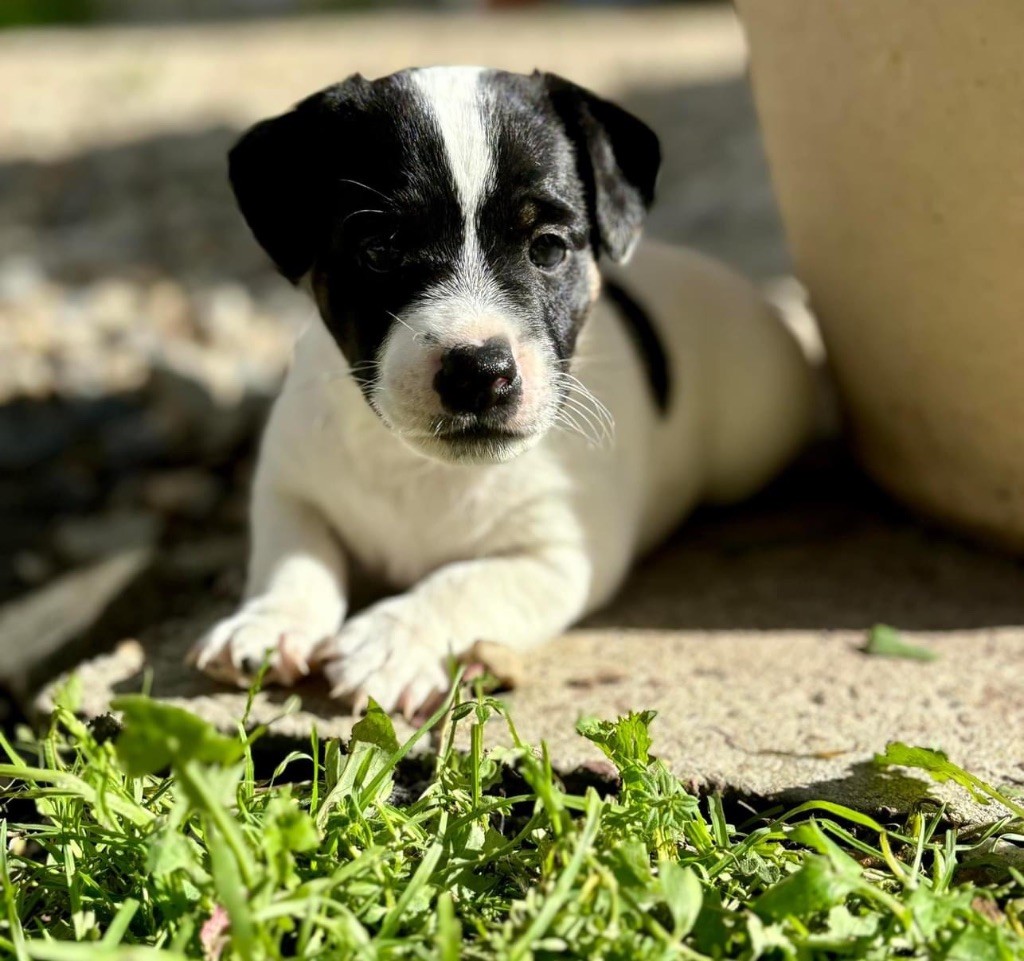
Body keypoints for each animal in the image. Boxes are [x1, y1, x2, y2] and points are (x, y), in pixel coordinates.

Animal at [190, 65, 815, 713]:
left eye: (549, 247)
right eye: (380, 249)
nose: (478, 370)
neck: (425, 470)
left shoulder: (556, 557)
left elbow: (465, 583)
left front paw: (392, 640)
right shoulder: (289, 486)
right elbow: (294, 554)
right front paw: (268, 622)